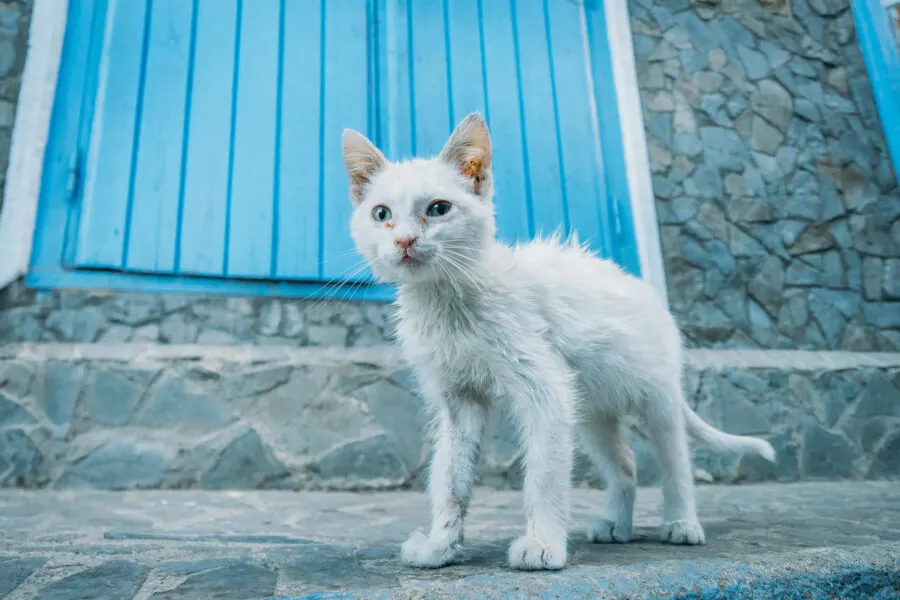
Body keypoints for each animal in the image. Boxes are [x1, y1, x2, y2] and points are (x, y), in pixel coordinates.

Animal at [338, 113, 772, 572]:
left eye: (438, 209)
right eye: (381, 214)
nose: (404, 240)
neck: (449, 301)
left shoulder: (545, 392)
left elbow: (544, 475)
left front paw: (542, 544)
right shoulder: (459, 401)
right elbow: (450, 479)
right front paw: (440, 545)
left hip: (657, 398)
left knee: (676, 462)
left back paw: (682, 523)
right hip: (590, 410)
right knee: (626, 463)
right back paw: (616, 525)